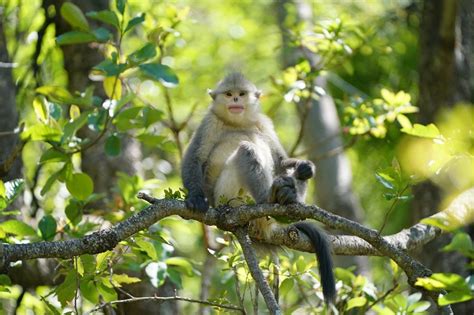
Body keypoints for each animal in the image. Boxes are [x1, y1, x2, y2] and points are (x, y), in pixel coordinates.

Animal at [181, 72, 336, 304]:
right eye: (229, 94)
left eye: (241, 93)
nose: (236, 100)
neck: (237, 123)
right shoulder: (209, 122)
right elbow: (195, 158)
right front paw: (195, 198)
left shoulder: (264, 123)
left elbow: (280, 161)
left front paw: (305, 167)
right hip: (227, 196)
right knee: (247, 149)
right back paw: (269, 197)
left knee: (291, 173)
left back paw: (288, 197)